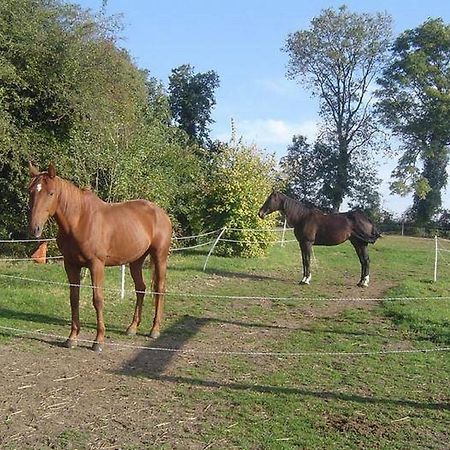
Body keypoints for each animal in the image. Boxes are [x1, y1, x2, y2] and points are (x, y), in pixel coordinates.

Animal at [27, 163, 172, 354]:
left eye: (51, 193)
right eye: (30, 191)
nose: (34, 228)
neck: (79, 220)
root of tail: (160, 212)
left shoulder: (96, 265)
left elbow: (98, 300)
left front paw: (98, 341)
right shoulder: (71, 265)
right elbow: (74, 299)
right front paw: (71, 338)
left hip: (159, 256)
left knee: (159, 289)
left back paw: (155, 329)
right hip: (136, 261)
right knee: (141, 288)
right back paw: (132, 327)